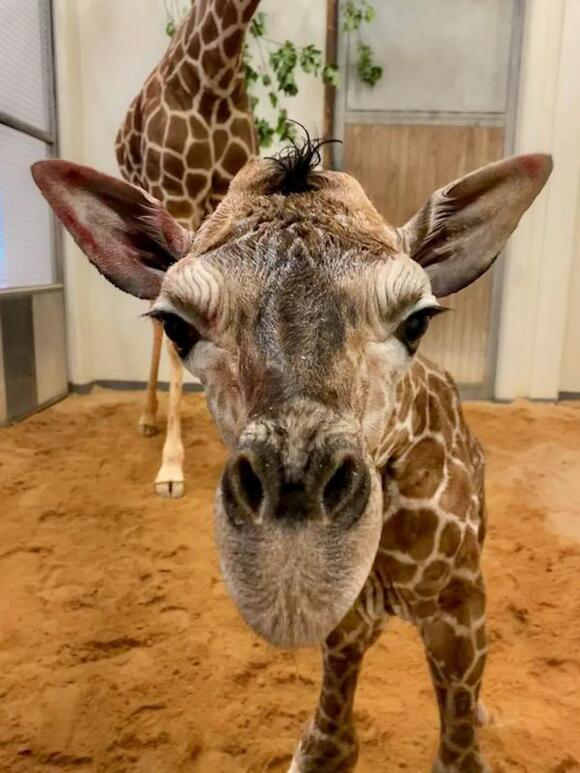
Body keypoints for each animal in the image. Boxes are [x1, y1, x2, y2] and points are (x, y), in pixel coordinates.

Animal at [32, 138, 551, 771]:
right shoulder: (348, 624)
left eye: (418, 319)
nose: (292, 565)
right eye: (178, 325)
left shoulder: (461, 598)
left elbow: (458, 756)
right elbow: (328, 745)